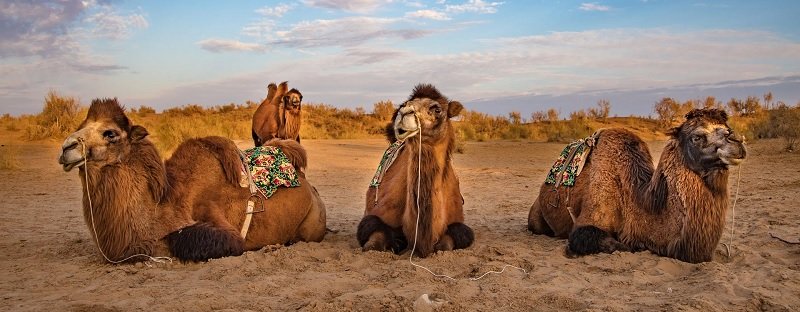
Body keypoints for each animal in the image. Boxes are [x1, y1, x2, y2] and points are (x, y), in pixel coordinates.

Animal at [358, 84, 476, 258]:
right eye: (405, 104)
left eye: (437, 109)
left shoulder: (458, 226)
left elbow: (445, 246)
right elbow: (372, 244)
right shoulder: (374, 219)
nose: (404, 113)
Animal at [528, 108, 748, 262]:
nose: (737, 140)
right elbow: (620, 245)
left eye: (727, 128)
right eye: (697, 136)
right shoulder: (588, 222)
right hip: (536, 218)